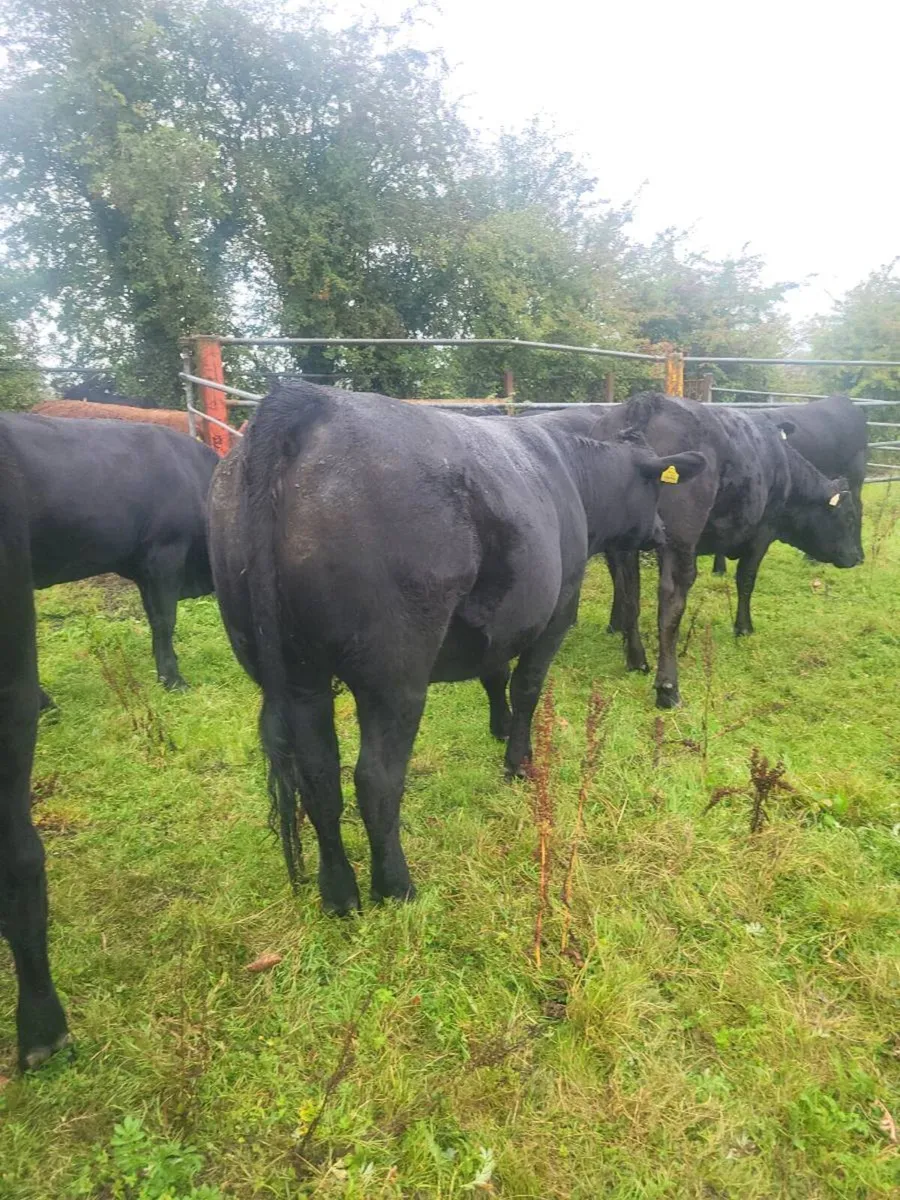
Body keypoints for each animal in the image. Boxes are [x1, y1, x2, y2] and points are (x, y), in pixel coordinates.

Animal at [208, 381, 706, 914]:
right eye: (657, 489)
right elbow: (527, 687)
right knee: (375, 778)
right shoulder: (556, 610)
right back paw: (397, 887)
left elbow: (494, 672)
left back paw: (340, 894)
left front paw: (499, 726)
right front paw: (518, 761)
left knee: (318, 778)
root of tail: (304, 399)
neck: (574, 479)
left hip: (298, 674)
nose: (661, 533)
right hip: (394, 673)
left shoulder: (498, 616)